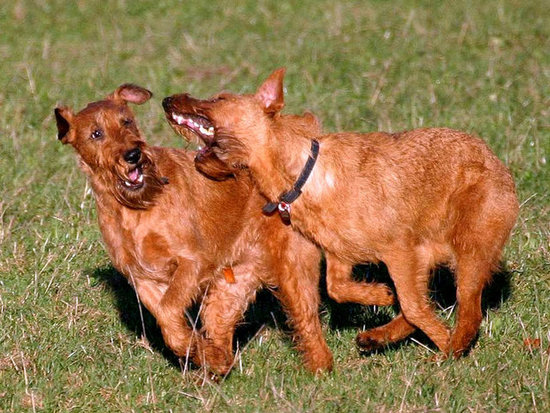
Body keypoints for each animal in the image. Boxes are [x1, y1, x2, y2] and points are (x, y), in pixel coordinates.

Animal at [55, 83, 336, 374]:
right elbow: (166, 318)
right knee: (222, 328)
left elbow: (169, 309)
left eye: (127, 122)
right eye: (96, 134)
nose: (132, 154)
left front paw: (198, 350)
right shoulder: (143, 279)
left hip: (293, 268)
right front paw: (200, 352)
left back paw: (319, 369)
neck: (136, 207)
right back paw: (218, 362)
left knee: (307, 320)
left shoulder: (193, 261)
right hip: (231, 285)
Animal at [163, 68, 520, 358]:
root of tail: (496, 162)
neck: (303, 175)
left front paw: (442, 345)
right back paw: (378, 337)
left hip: (470, 255)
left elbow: (414, 307)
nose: (166, 99)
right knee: (426, 305)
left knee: (467, 313)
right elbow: (340, 289)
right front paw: (379, 295)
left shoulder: (398, 251)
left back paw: (450, 351)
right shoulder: (341, 256)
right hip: (430, 257)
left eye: (218, 98)